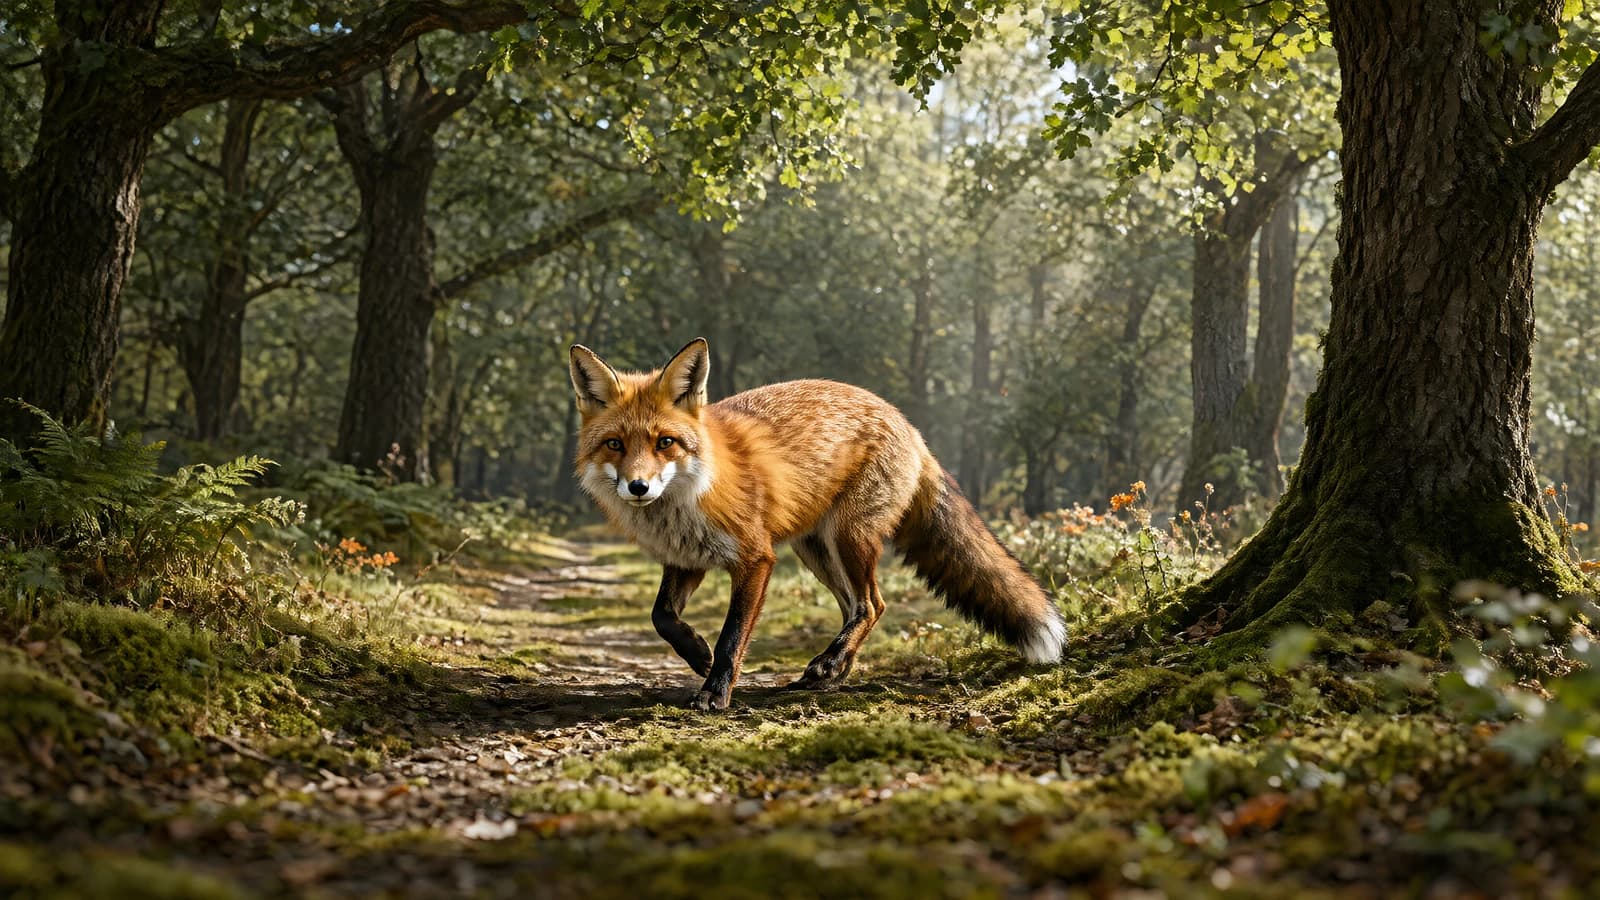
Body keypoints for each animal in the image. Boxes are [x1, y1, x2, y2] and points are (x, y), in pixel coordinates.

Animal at [569, 337, 1065, 710]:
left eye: (665, 442)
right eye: (615, 444)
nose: (638, 487)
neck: (692, 493)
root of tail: (909, 425)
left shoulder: (756, 558)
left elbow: (733, 636)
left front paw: (715, 690)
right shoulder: (687, 558)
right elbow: (662, 617)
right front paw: (696, 652)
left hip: (849, 538)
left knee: (872, 604)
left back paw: (830, 664)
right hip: (816, 550)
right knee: (854, 607)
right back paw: (833, 670)